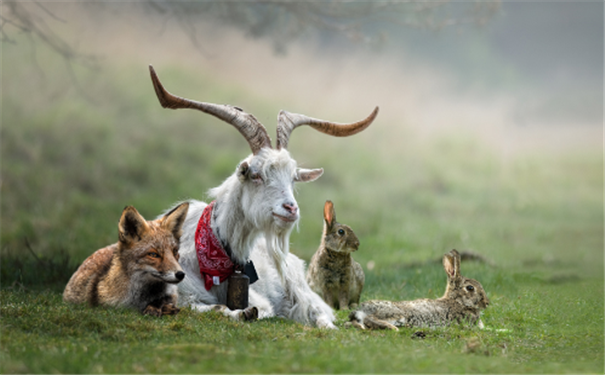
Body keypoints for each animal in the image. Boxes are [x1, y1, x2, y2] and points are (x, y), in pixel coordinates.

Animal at [150, 67, 378, 328]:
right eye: (256, 174)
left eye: (293, 178)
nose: (291, 209)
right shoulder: (182, 293)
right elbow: (209, 308)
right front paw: (241, 313)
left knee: (319, 311)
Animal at [346, 251, 488, 330]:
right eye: (470, 288)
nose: (486, 303)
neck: (457, 301)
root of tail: (361, 309)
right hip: (396, 313)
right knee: (369, 319)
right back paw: (393, 328)